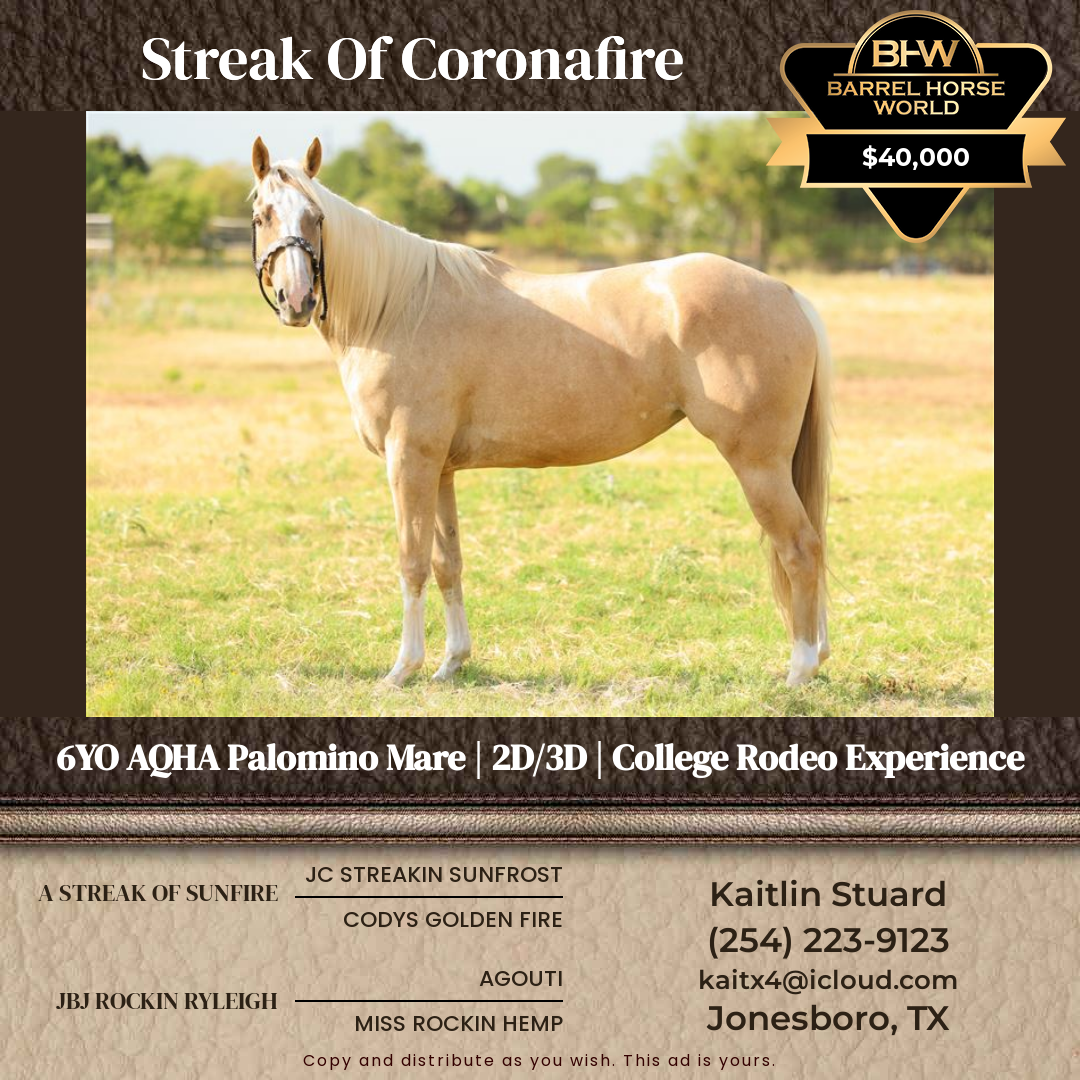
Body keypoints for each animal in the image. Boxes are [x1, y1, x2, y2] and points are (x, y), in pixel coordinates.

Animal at [249, 137, 833, 688]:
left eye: (316, 216)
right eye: (262, 215)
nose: (297, 300)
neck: (400, 309)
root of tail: (787, 293)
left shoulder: (408, 460)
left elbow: (411, 561)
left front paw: (402, 669)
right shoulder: (439, 469)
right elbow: (447, 563)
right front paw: (451, 664)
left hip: (758, 463)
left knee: (800, 547)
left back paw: (800, 669)